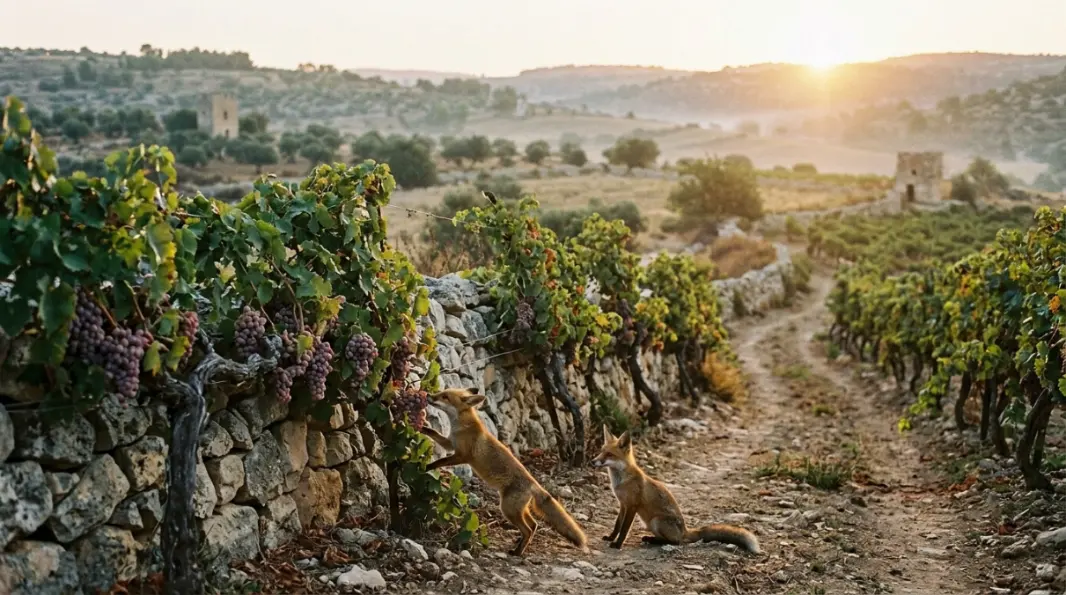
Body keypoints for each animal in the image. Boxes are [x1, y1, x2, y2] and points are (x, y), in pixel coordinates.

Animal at [421, 387, 589, 556]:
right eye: (442, 393)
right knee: (534, 525)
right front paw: (422, 427)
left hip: (508, 509)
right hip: (518, 509)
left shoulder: (462, 455)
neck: (462, 426)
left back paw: (517, 552)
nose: (428, 395)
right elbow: (433, 433)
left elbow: (440, 462)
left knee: (528, 529)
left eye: (445, 397)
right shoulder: (449, 443)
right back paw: (519, 546)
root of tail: (534, 484)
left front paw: (427, 467)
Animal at [591, 427, 761, 553]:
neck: (621, 481)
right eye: (601, 451)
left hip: (656, 521)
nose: (593, 461)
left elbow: (624, 529)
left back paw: (652, 540)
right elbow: (617, 525)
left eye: (609, 454)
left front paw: (618, 544)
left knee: (676, 542)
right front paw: (611, 538)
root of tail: (685, 530)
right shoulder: (623, 504)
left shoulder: (632, 506)